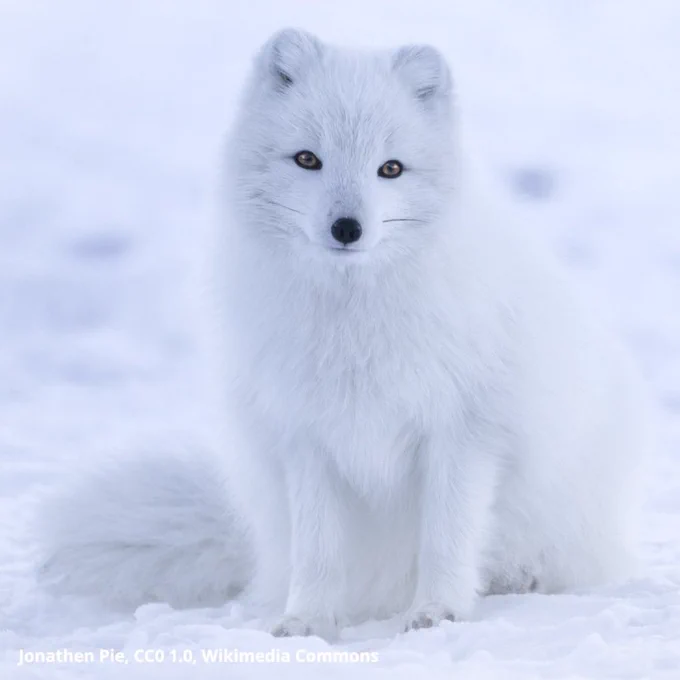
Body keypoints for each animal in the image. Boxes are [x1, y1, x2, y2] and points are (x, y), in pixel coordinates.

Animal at [38, 28, 651, 640]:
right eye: (308, 159)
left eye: (391, 169)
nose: (347, 228)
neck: (353, 322)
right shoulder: (306, 436)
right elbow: (318, 550)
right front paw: (306, 621)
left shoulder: (465, 431)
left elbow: (446, 537)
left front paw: (439, 612)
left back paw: (517, 579)